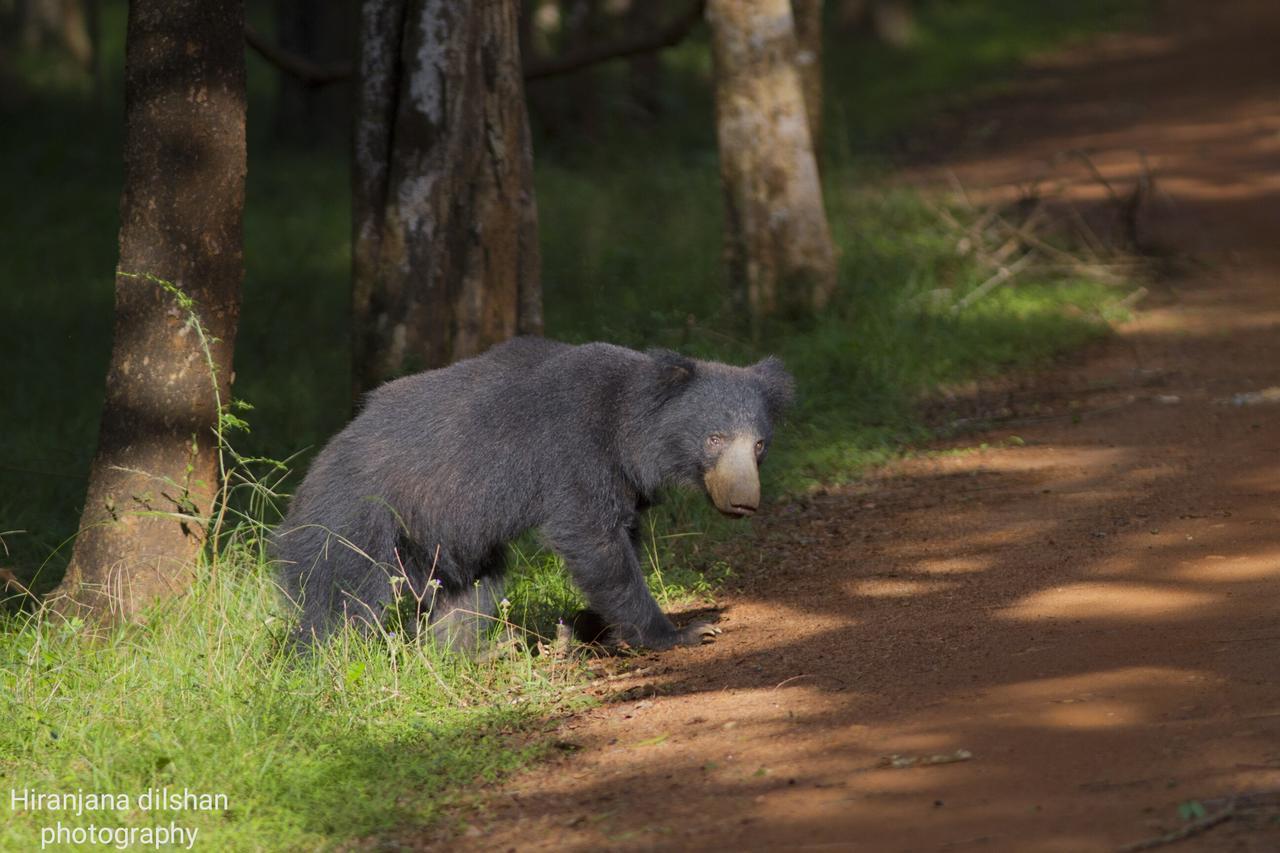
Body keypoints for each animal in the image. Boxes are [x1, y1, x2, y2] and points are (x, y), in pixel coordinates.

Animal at [272, 335, 788, 648]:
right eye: (714, 439)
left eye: (759, 445)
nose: (743, 502)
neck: (630, 428)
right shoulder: (575, 453)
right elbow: (595, 542)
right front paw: (681, 632)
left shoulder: (623, 482)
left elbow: (623, 536)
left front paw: (591, 624)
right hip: (356, 519)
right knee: (339, 602)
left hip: (442, 541)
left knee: (471, 591)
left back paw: (469, 651)